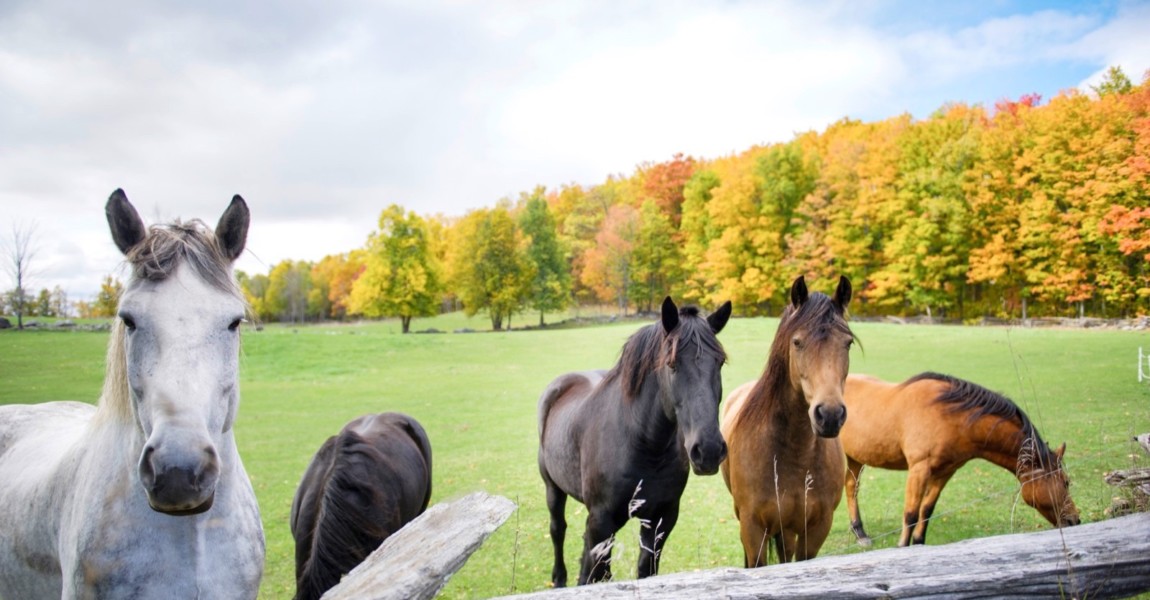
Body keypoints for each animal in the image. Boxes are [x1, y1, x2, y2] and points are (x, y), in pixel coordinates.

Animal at [535, 296, 731, 581]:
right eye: (672, 364)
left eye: (719, 363)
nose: (708, 451)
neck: (644, 445)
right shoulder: (601, 521)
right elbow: (595, 573)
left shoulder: (661, 518)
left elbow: (643, 570)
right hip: (553, 489)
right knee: (557, 529)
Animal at [717, 275, 855, 565]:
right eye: (797, 342)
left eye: (847, 342)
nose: (830, 415)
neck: (793, 454)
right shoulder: (753, 528)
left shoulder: (815, 530)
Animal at [841, 372, 1081, 547]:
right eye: (1066, 482)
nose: (1075, 520)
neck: (949, 416)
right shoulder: (919, 469)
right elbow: (910, 514)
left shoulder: (945, 472)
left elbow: (926, 511)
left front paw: (918, 543)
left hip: (855, 458)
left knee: (851, 487)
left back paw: (860, 532)